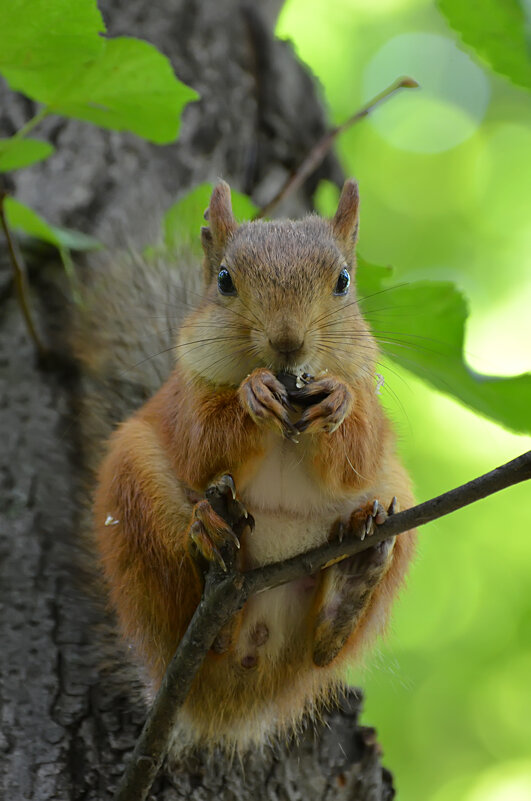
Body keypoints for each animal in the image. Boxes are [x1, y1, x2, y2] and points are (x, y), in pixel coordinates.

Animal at [76, 178, 416, 752]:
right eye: (224, 280)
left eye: (344, 281)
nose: (287, 342)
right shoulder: (182, 400)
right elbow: (201, 447)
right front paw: (251, 394)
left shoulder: (373, 422)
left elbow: (361, 454)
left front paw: (339, 401)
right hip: (132, 479)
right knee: (187, 601)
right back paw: (208, 550)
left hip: (399, 500)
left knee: (322, 649)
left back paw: (353, 577)